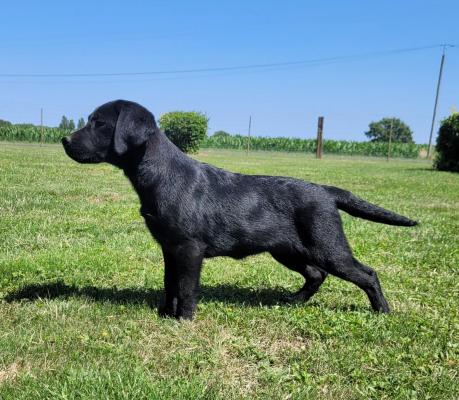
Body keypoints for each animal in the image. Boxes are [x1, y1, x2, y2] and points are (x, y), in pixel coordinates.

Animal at [63, 101, 418, 320]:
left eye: (98, 123)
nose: (65, 140)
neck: (161, 174)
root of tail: (326, 191)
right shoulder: (169, 247)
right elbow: (169, 283)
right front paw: (165, 314)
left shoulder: (189, 248)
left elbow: (186, 288)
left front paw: (184, 321)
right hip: (288, 250)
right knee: (317, 275)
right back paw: (293, 301)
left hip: (327, 245)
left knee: (365, 274)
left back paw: (382, 311)